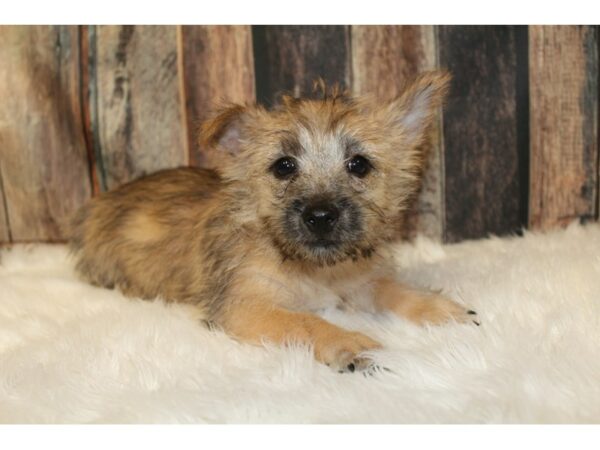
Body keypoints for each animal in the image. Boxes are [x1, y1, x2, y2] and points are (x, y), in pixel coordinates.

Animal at [69, 71, 478, 372]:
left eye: (359, 164)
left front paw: (438, 307)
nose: (320, 216)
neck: (315, 270)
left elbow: (392, 289)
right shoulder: (246, 307)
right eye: (284, 166)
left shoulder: (361, 280)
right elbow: (304, 321)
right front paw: (347, 342)